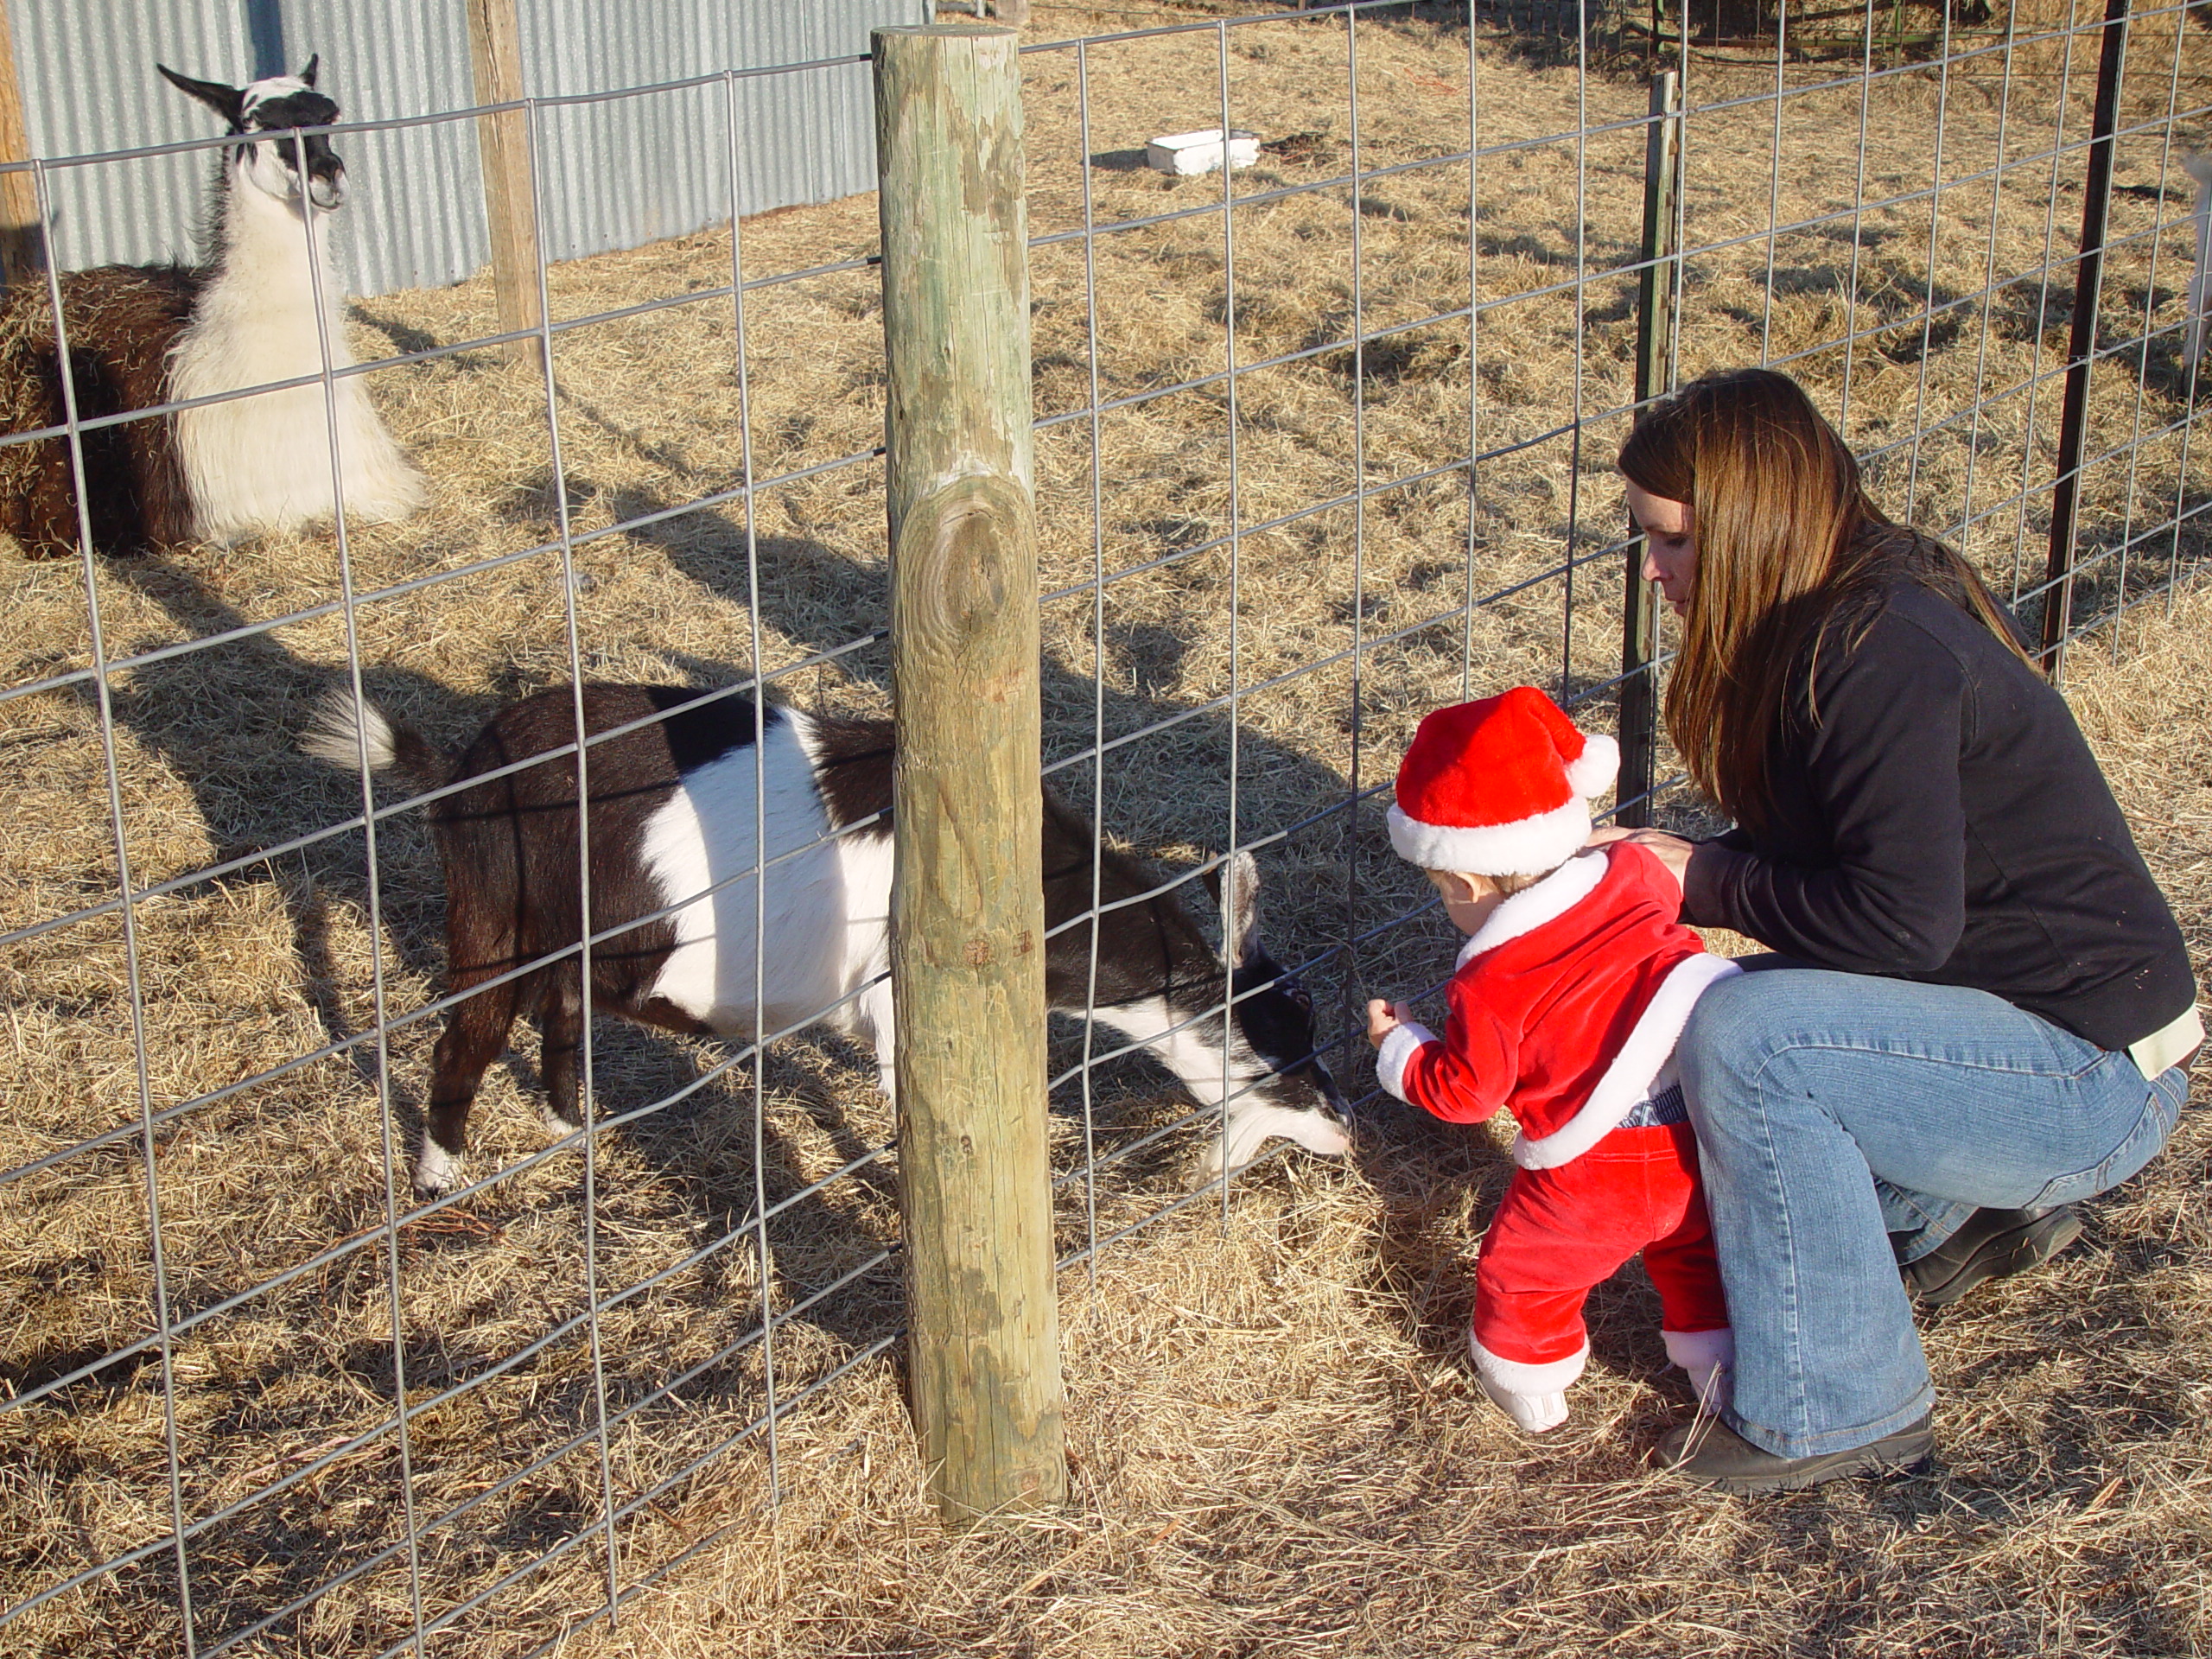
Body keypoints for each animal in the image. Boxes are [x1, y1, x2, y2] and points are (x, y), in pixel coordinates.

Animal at [307, 681, 1344, 1203]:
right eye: (1280, 1060)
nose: (1344, 1131)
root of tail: (461, 768)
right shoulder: (901, 1007)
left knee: (559, 1010)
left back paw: (572, 1129)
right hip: (492, 908)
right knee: (468, 1036)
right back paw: (439, 1181)